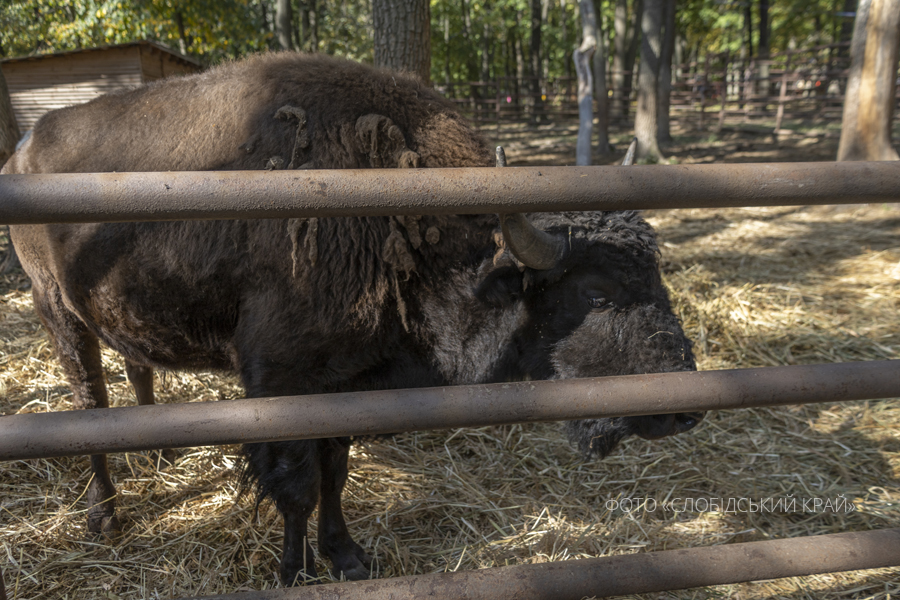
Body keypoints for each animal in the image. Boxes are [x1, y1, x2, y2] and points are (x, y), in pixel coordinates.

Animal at [1, 51, 704, 584]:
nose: (687, 409)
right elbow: (296, 484)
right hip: (55, 309)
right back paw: (104, 515)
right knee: (88, 398)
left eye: (655, 274)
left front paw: (346, 556)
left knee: (135, 367)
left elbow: (334, 473)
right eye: (598, 292)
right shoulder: (281, 384)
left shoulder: (344, 385)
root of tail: (24, 150)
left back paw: (157, 455)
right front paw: (293, 572)